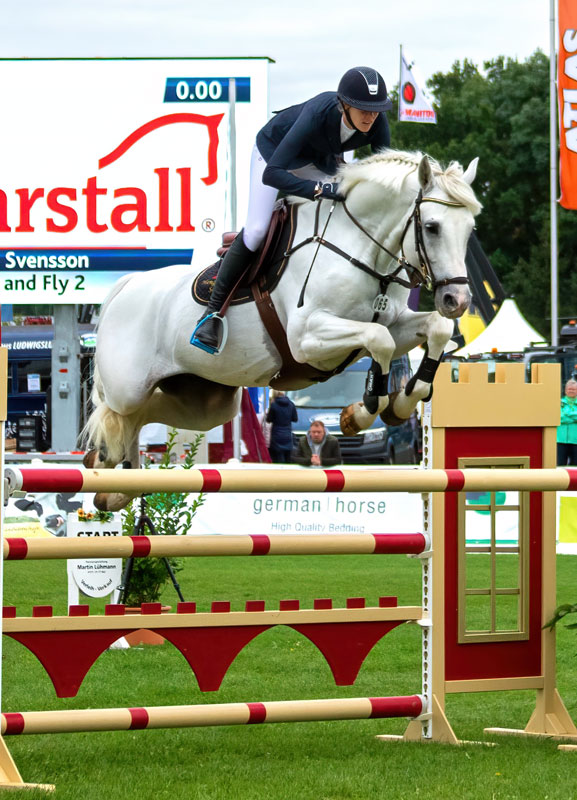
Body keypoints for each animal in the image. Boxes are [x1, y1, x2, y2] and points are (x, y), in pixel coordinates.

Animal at [84, 149, 481, 510]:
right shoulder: (308, 339)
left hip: (208, 400)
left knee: (142, 415)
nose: (456, 299)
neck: (363, 251)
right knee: (117, 412)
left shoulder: (395, 324)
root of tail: (125, 286)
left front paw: (400, 402)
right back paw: (103, 465)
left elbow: (435, 329)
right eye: (431, 227)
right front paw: (363, 411)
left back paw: (113, 483)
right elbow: (378, 340)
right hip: (129, 387)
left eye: (469, 230)